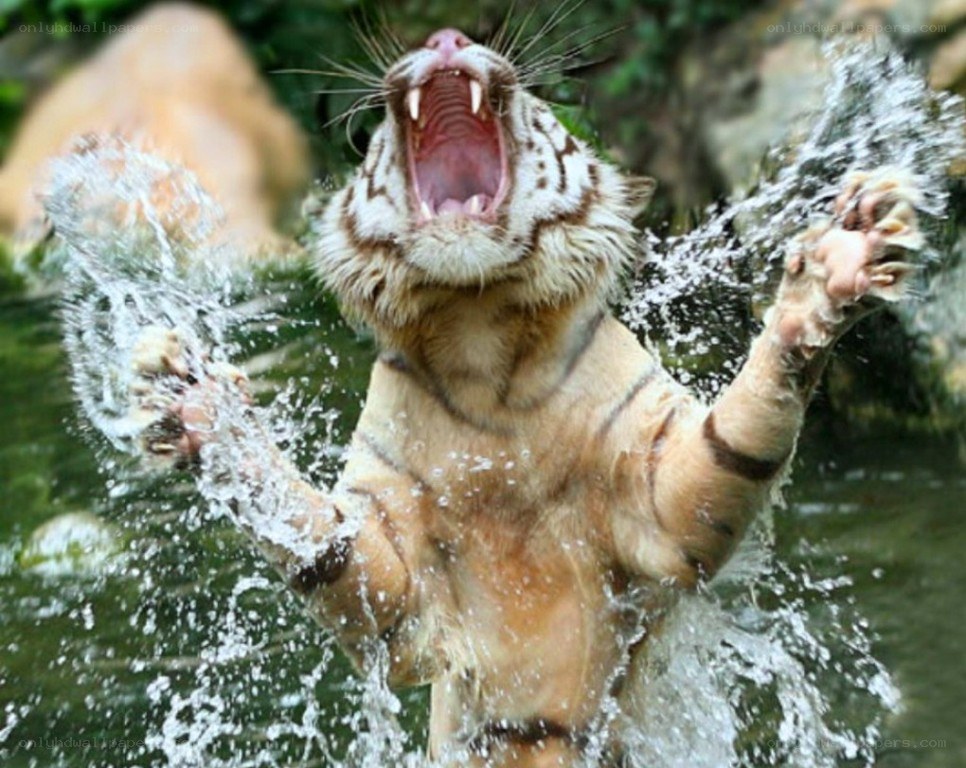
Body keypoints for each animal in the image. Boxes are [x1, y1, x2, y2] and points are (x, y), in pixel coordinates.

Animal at [129, 27, 924, 768]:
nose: (445, 36)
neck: (481, 340)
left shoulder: (660, 499)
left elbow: (727, 450)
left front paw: (836, 263)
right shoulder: (393, 564)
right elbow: (331, 551)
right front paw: (201, 408)